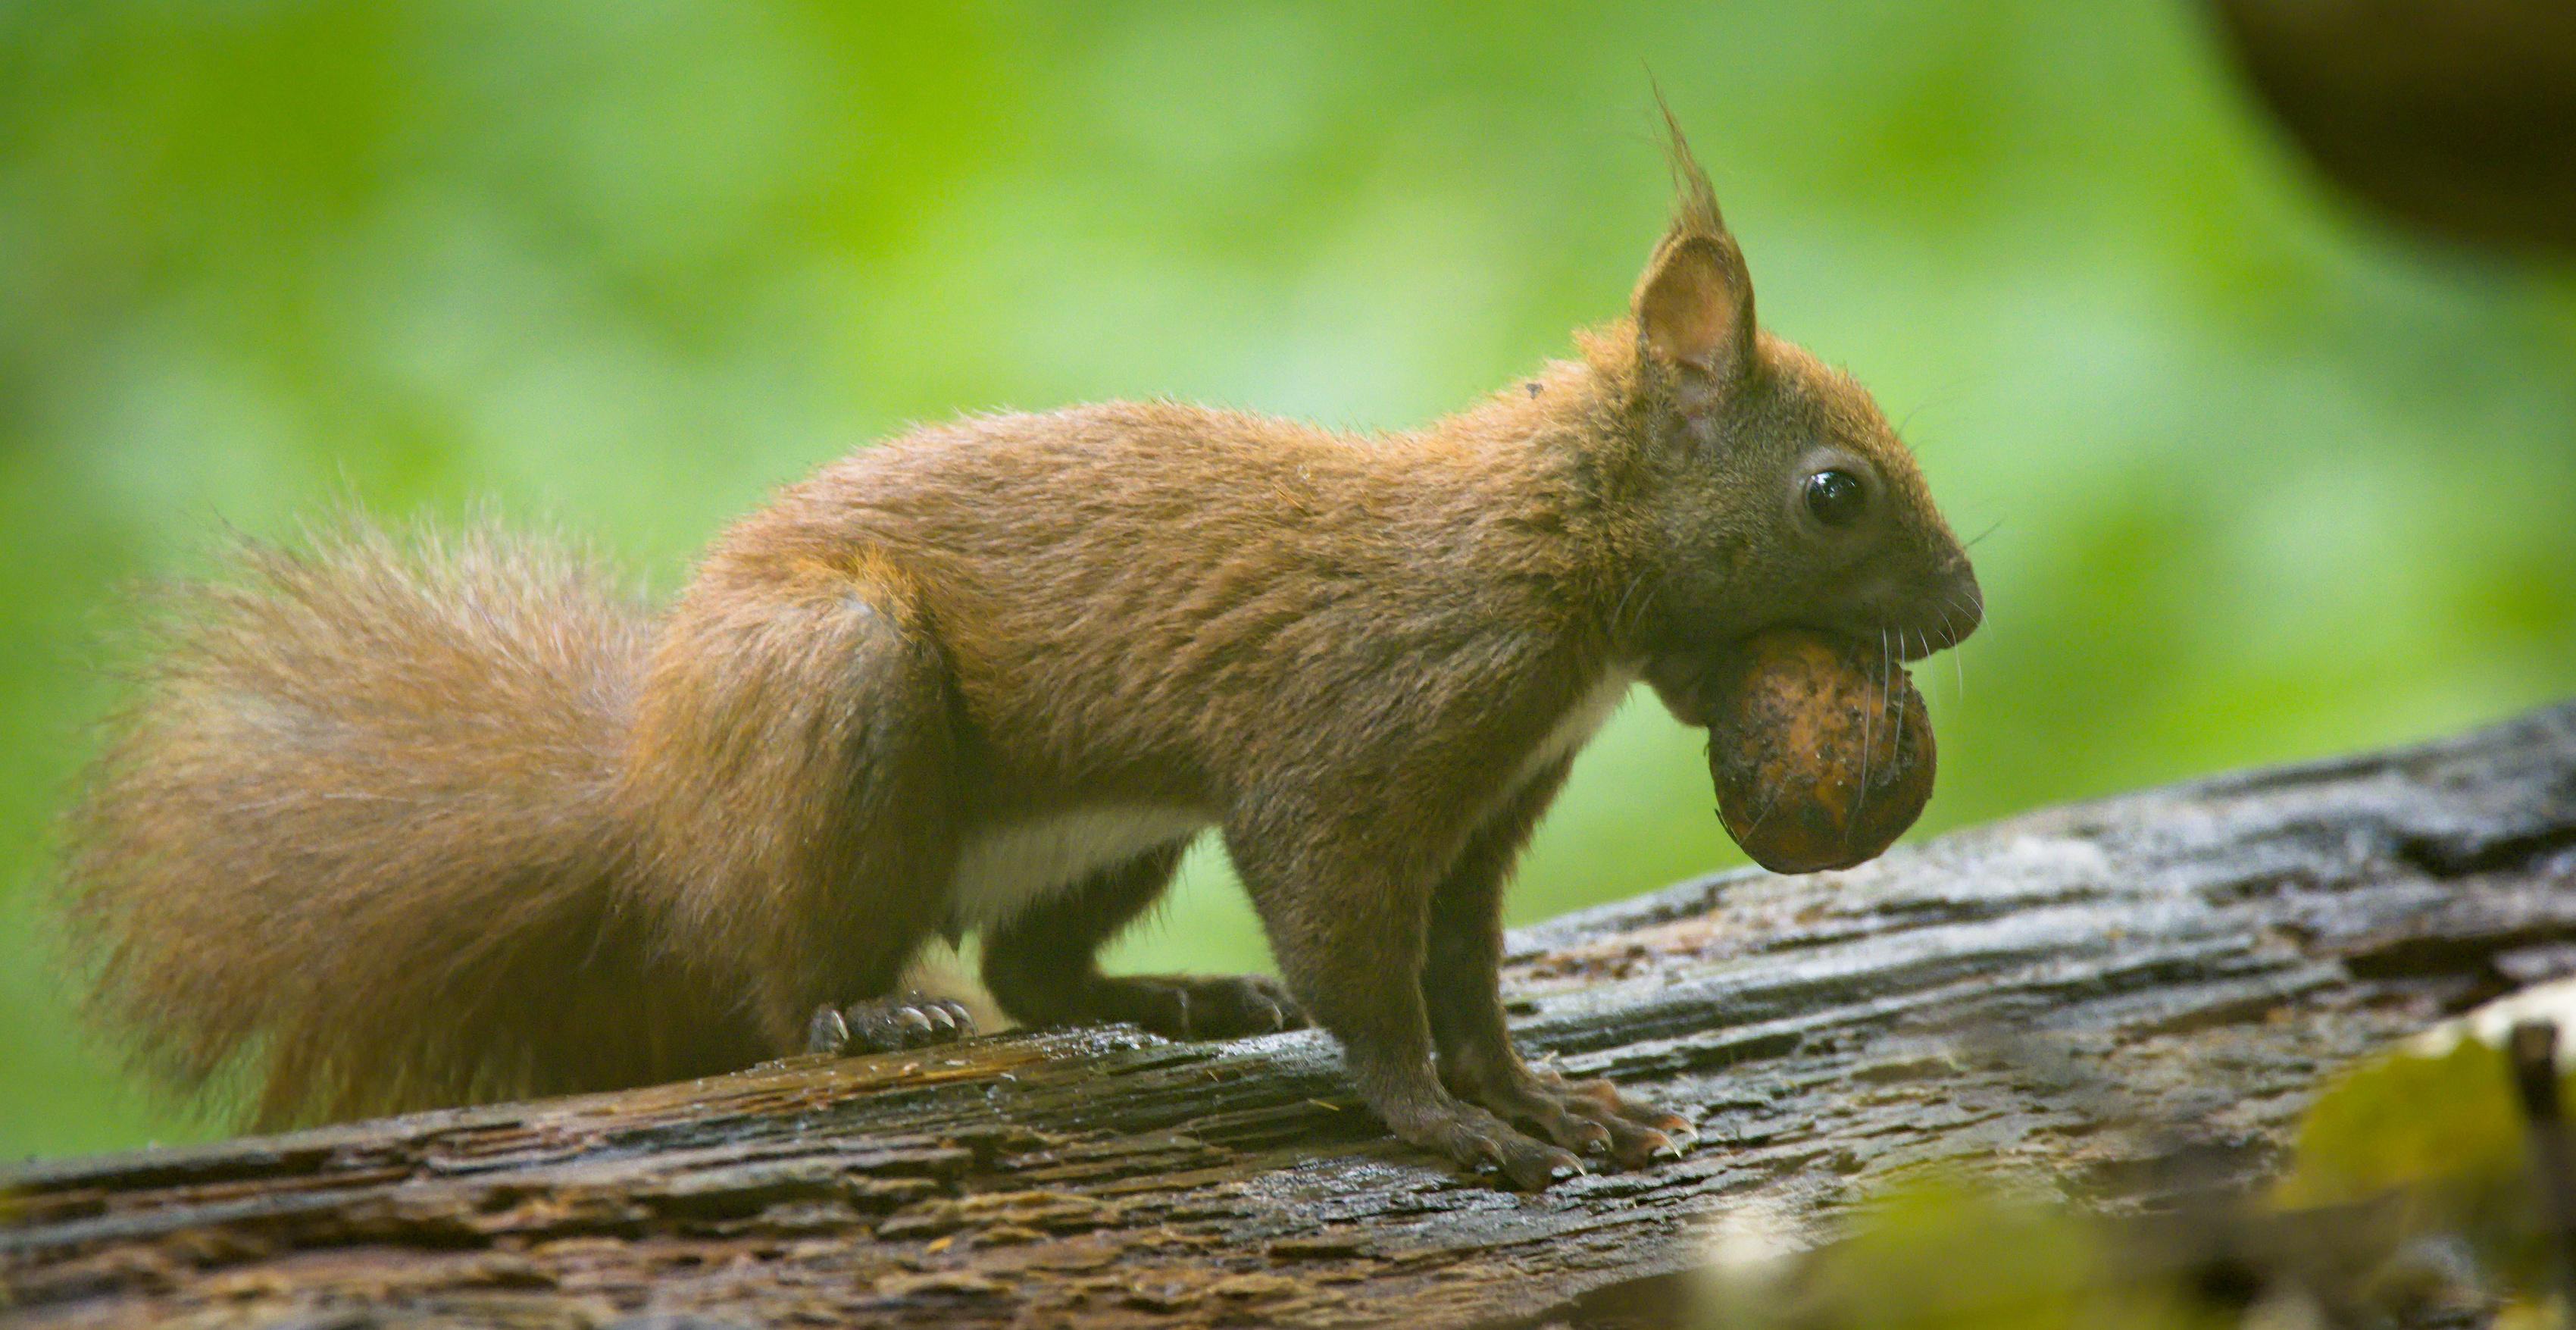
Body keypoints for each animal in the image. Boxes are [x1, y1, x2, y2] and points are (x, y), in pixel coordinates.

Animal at [65, 116, 1988, 1196]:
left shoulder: (1487, 808)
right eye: (1833, 489)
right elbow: (1361, 958)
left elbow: (1461, 974)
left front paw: (1547, 1097)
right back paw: (872, 1005)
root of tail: (654, 806)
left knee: (1036, 964)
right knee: (783, 980)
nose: (1964, 610)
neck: (1551, 549)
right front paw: (1452, 1129)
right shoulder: (1363, 734)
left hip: (1106, 823)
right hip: (838, 692)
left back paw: (1180, 997)